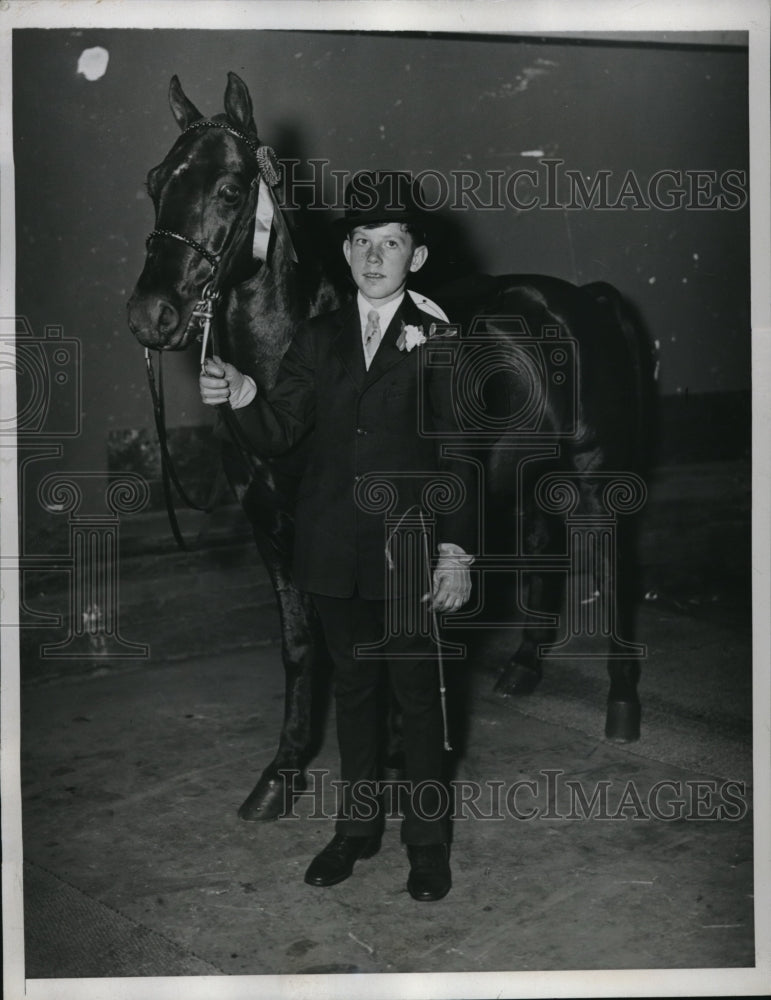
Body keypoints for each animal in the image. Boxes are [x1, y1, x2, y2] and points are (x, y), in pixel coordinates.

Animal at [130, 70, 648, 820]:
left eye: (227, 189)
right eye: (154, 182)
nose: (152, 315)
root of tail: (581, 298)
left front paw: (401, 763)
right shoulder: (272, 524)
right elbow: (299, 645)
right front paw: (282, 774)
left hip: (597, 471)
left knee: (614, 566)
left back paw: (622, 703)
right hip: (530, 475)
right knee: (542, 544)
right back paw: (522, 669)